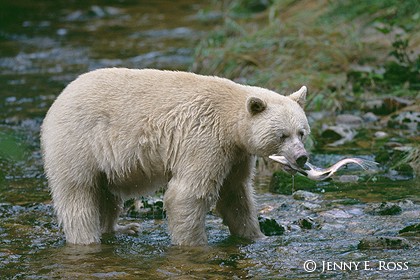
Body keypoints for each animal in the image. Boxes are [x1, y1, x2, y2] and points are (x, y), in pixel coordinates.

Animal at [40, 69, 308, 246]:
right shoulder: (206, 140)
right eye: (283, 135)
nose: (301, 157)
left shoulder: (236, 155)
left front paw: (256, 235)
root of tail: (59, 98)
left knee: (107, 197)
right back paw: (87, 239)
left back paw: (122, 229)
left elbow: (235, 193)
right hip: (78, 144)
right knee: (79, 195)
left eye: (302, 132)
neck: (230, 120)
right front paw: (196, 244)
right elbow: (187, 194)